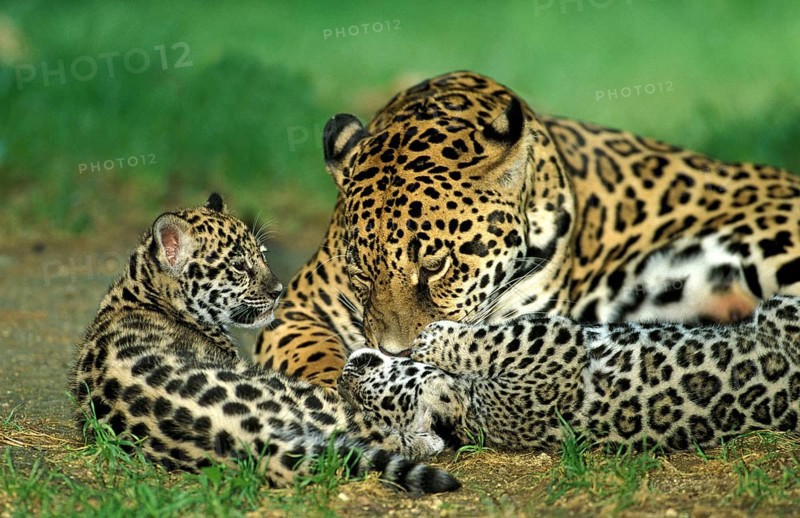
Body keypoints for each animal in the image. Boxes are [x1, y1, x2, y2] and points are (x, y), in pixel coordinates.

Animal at [69, 193, 459, 493]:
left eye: (263, 254)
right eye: (239, 267)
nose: (277, 291)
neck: (143, 291)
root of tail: (241, 438)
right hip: (307, 396)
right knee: (374, 429)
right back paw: (429, 435)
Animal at [338, 295, 800, 452]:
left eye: (365, 393)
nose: (345, 374)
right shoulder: (550, 346)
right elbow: (494, 338)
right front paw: (433, 337)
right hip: (780, 310)